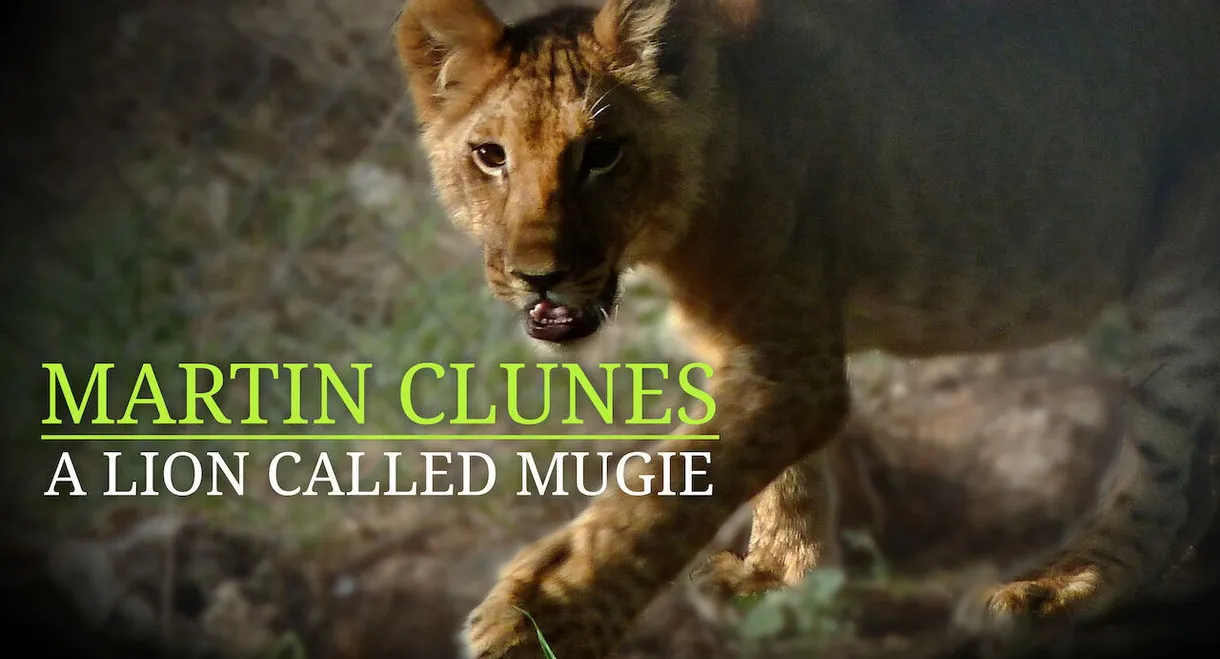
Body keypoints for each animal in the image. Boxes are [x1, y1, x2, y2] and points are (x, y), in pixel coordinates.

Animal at [392, 0, 1220, 657]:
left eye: (602, 153)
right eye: (489, 155)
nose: (539, 274)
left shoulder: (788, 362)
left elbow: (659, 496)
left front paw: (536, 620)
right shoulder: (755, 349)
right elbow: (778, 476)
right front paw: (777, 575)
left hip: (1188, 270)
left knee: (1170, 479)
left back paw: (1057, 587)